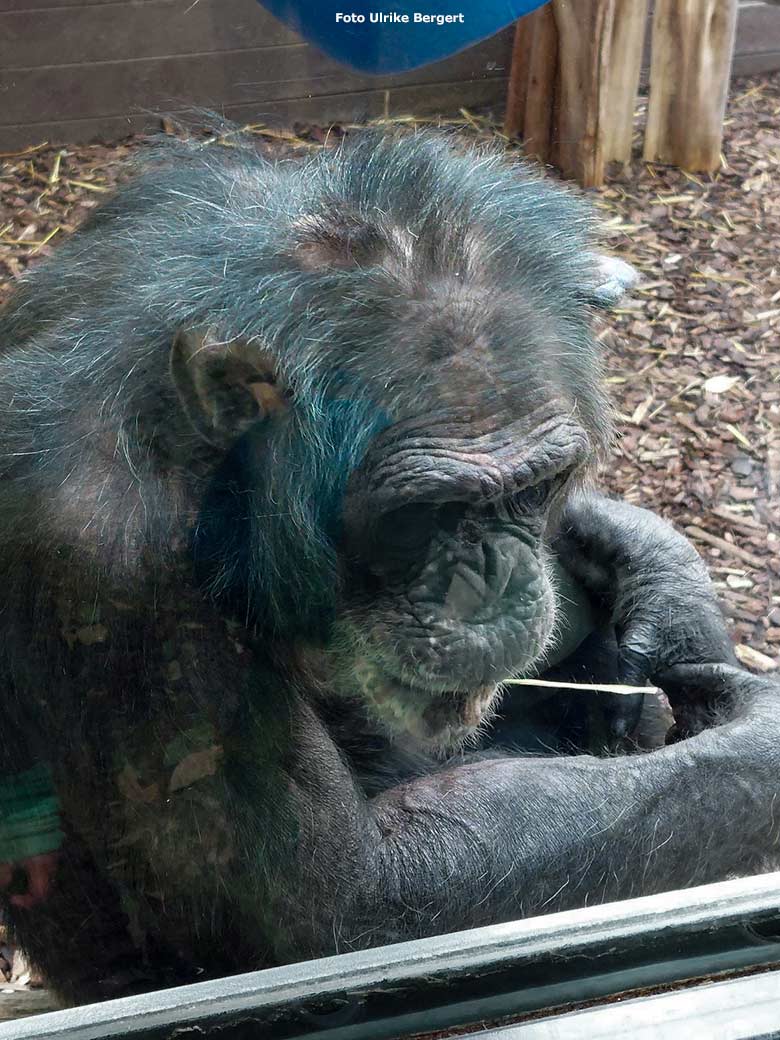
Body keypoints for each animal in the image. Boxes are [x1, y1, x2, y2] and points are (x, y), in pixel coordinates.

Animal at [0, 125, 777, 1002]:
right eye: (425, 514)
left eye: (534, 487)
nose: (496, 576)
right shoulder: (111, 571)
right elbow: (341, 903)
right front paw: (758, 743)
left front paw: (659, 576)